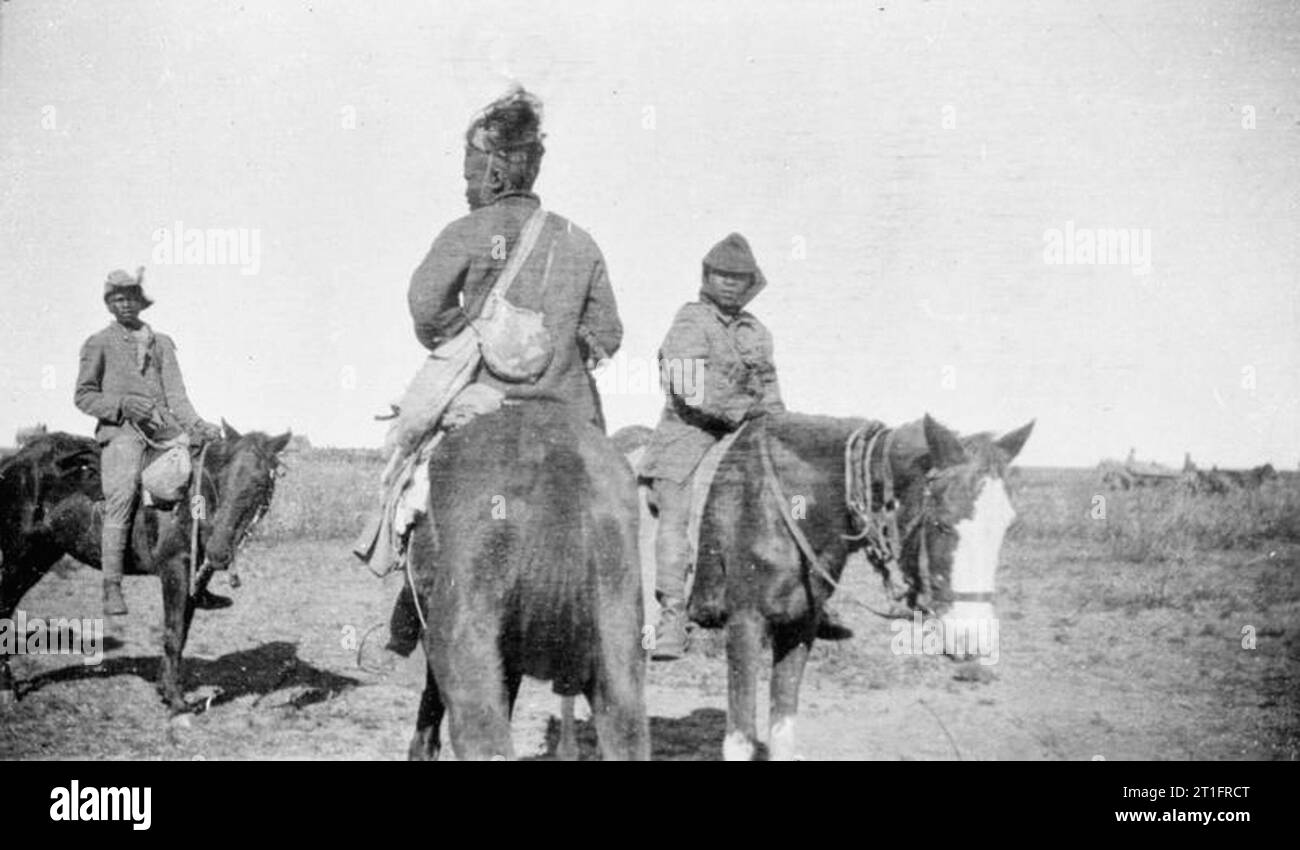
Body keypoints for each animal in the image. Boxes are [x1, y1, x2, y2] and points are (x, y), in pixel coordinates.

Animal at [0, 423, 289, 707]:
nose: (218, 551)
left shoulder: (193, 580)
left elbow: (182, 632)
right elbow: (174, 632)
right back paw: (7, 686)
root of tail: (13, 462)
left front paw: (165, 688)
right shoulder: (174, 570)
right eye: (222, 478)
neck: (192, 500)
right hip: (18, 555)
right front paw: (176, 700)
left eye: (260, 483)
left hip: (40, 555)